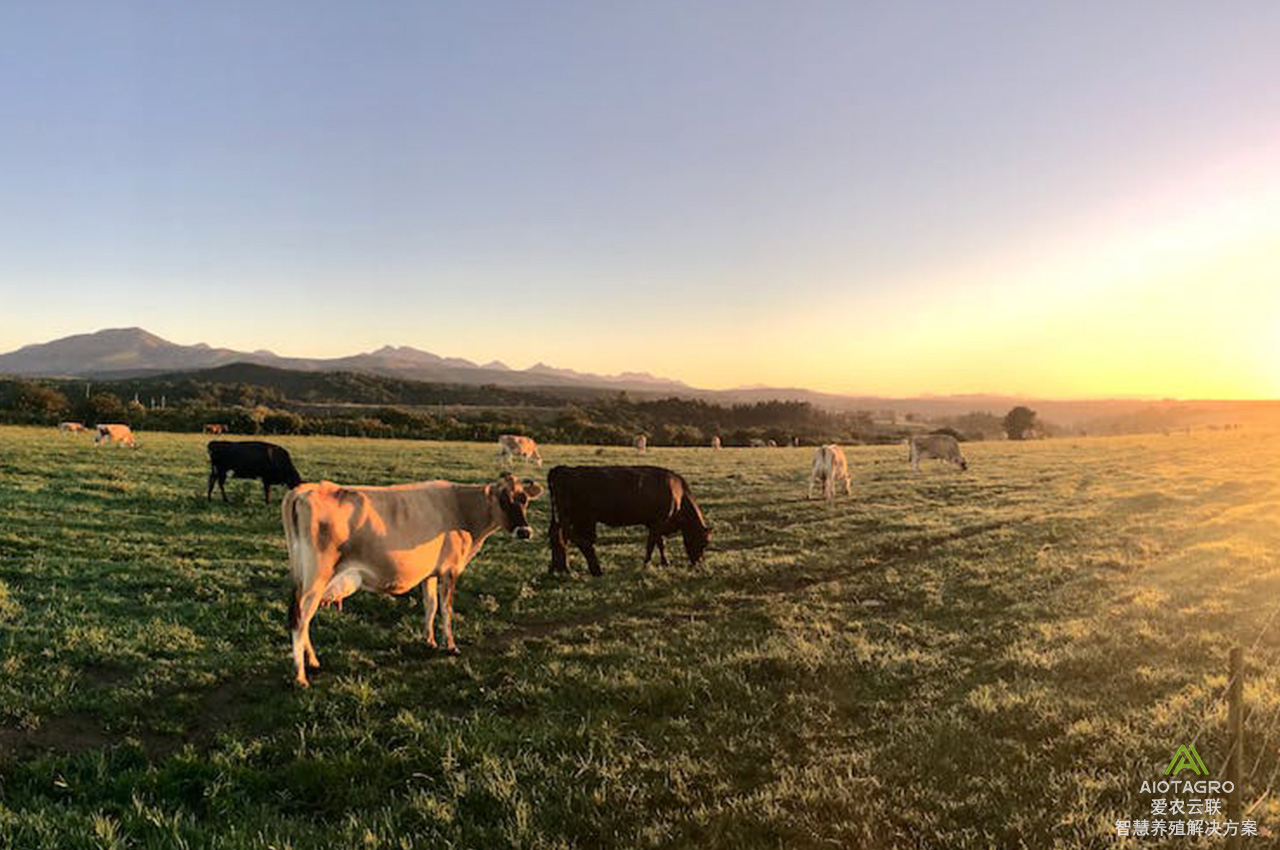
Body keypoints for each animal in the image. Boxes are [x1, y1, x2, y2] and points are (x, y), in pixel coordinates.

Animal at [282, 473, 542, 686]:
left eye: (524, 500)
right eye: (503, 500)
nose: (524, 531)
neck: (461, 508)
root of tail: (306, 490)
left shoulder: (431, 573)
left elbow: (431, 606)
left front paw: (429, 641)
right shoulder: (450, 571)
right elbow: (446, 609)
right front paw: (451, 646)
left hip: (303, 578)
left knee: (303, 619)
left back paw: (313, 662)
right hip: (315, 579)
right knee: (299, 619)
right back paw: (301, 676)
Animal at [547, 465, 716, 578]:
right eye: (704, 543)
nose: (699, 564)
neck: (679, 495)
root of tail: (562, 469)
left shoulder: (653, 524)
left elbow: (660, 543)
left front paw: (664, 562)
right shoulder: (658, 522)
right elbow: (652, 545)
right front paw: (647, 564)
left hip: (572, 518)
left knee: (558, 536)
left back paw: (556, 569)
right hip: (578, 517)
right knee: (574, 539)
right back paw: (580, 569)